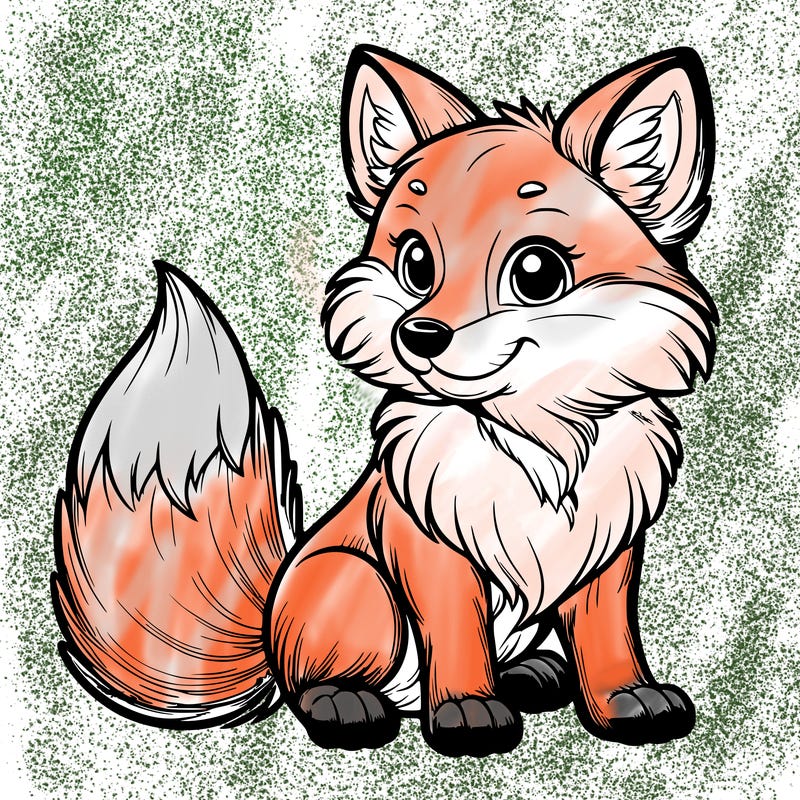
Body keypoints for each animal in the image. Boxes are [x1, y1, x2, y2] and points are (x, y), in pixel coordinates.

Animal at [52, 45, 716, 757]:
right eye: (416, 264)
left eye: (536, 273)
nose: (418, 334)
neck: (535, 441)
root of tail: (267, 627)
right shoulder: (431, 549)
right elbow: (456, 636)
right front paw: (468, 712)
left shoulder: (608, 548)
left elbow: (607, 637)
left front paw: (626, 701)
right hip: (360, 587)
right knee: (310, 686)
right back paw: (349, 705)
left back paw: (530, 674)